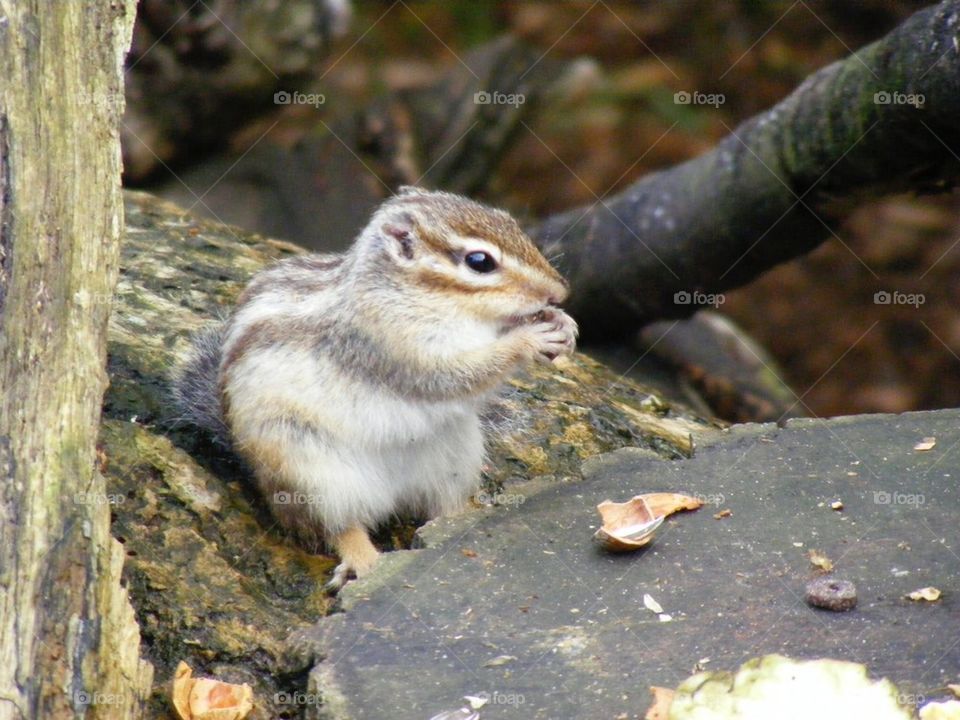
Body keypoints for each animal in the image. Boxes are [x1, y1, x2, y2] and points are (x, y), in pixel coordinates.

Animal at [171, 187, 577, 589]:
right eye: (480, 261)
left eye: (511, 222)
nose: (560, 291)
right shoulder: (390, 345)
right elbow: (455, 374)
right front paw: (528, 338)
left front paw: (563, 323)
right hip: (311, 474)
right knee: (338, 526)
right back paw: (365, 562)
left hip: (455, 457)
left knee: (441, 506)